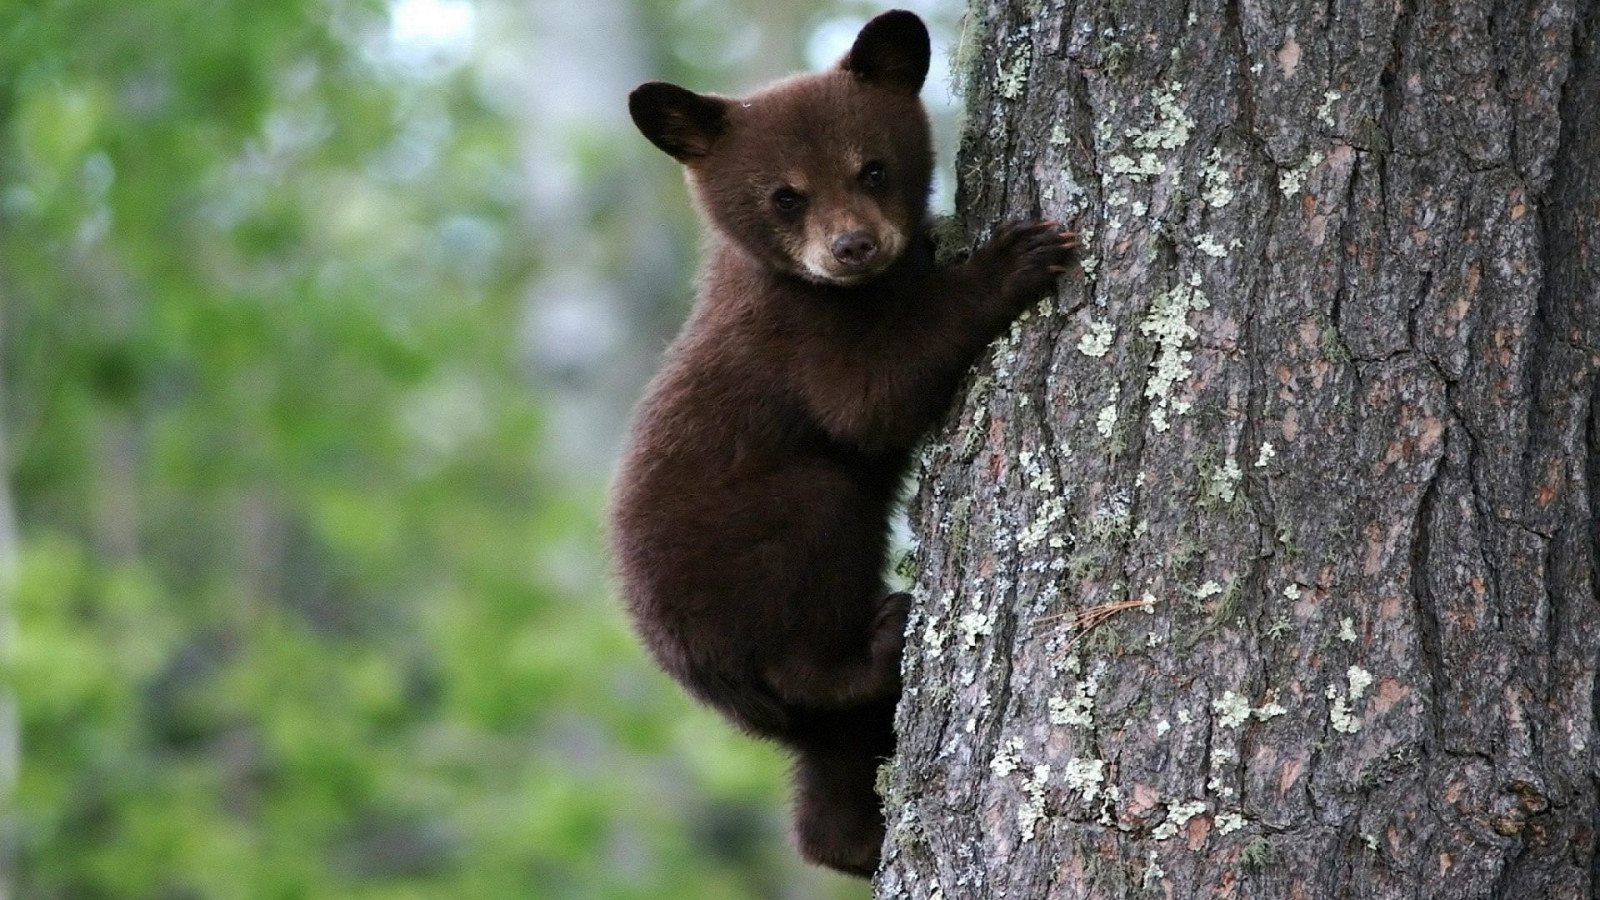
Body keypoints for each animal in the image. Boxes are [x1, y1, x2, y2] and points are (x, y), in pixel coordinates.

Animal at [608, 9, 1078, 878]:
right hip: (763, 552)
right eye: (785, 195)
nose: (853, 246)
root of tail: (702, 679)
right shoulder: (795, 339)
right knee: (810, 610)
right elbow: (871, 401)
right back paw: (882, 637)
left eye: (874, 168)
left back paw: (855, 840)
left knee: (828, 776)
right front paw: (1014, 258)